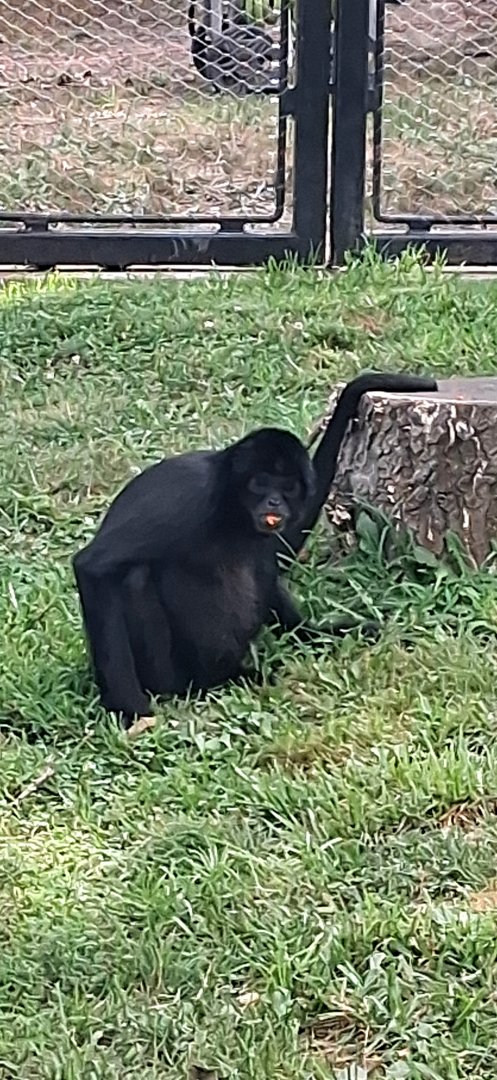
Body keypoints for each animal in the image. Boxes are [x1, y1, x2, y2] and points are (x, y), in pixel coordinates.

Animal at [73, 372, 437, 724]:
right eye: (261, 483)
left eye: (287, 487)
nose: (274, 501)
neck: (229, 507)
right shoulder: (187, 493)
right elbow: (92, 567)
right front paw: (129, 709)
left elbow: (277, 551)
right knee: (136, 575)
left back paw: (307, 636)